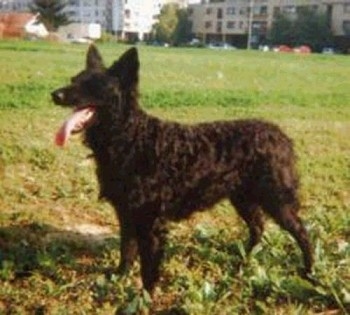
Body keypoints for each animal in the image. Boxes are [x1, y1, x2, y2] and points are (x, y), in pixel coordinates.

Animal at [50, 45, 314, 296]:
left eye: (93, 85)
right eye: (73, 79)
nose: (54, 94)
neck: (132, 138)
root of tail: (280, 135)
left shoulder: (151, 223)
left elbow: (148, 270)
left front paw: (143, 299)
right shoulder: (126, 214)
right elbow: (126, 251)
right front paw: (119, 278)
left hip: (277, 200)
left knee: (302, 233)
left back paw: (309, 272)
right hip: (243, 198)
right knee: (258, 228)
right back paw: (244, 261)